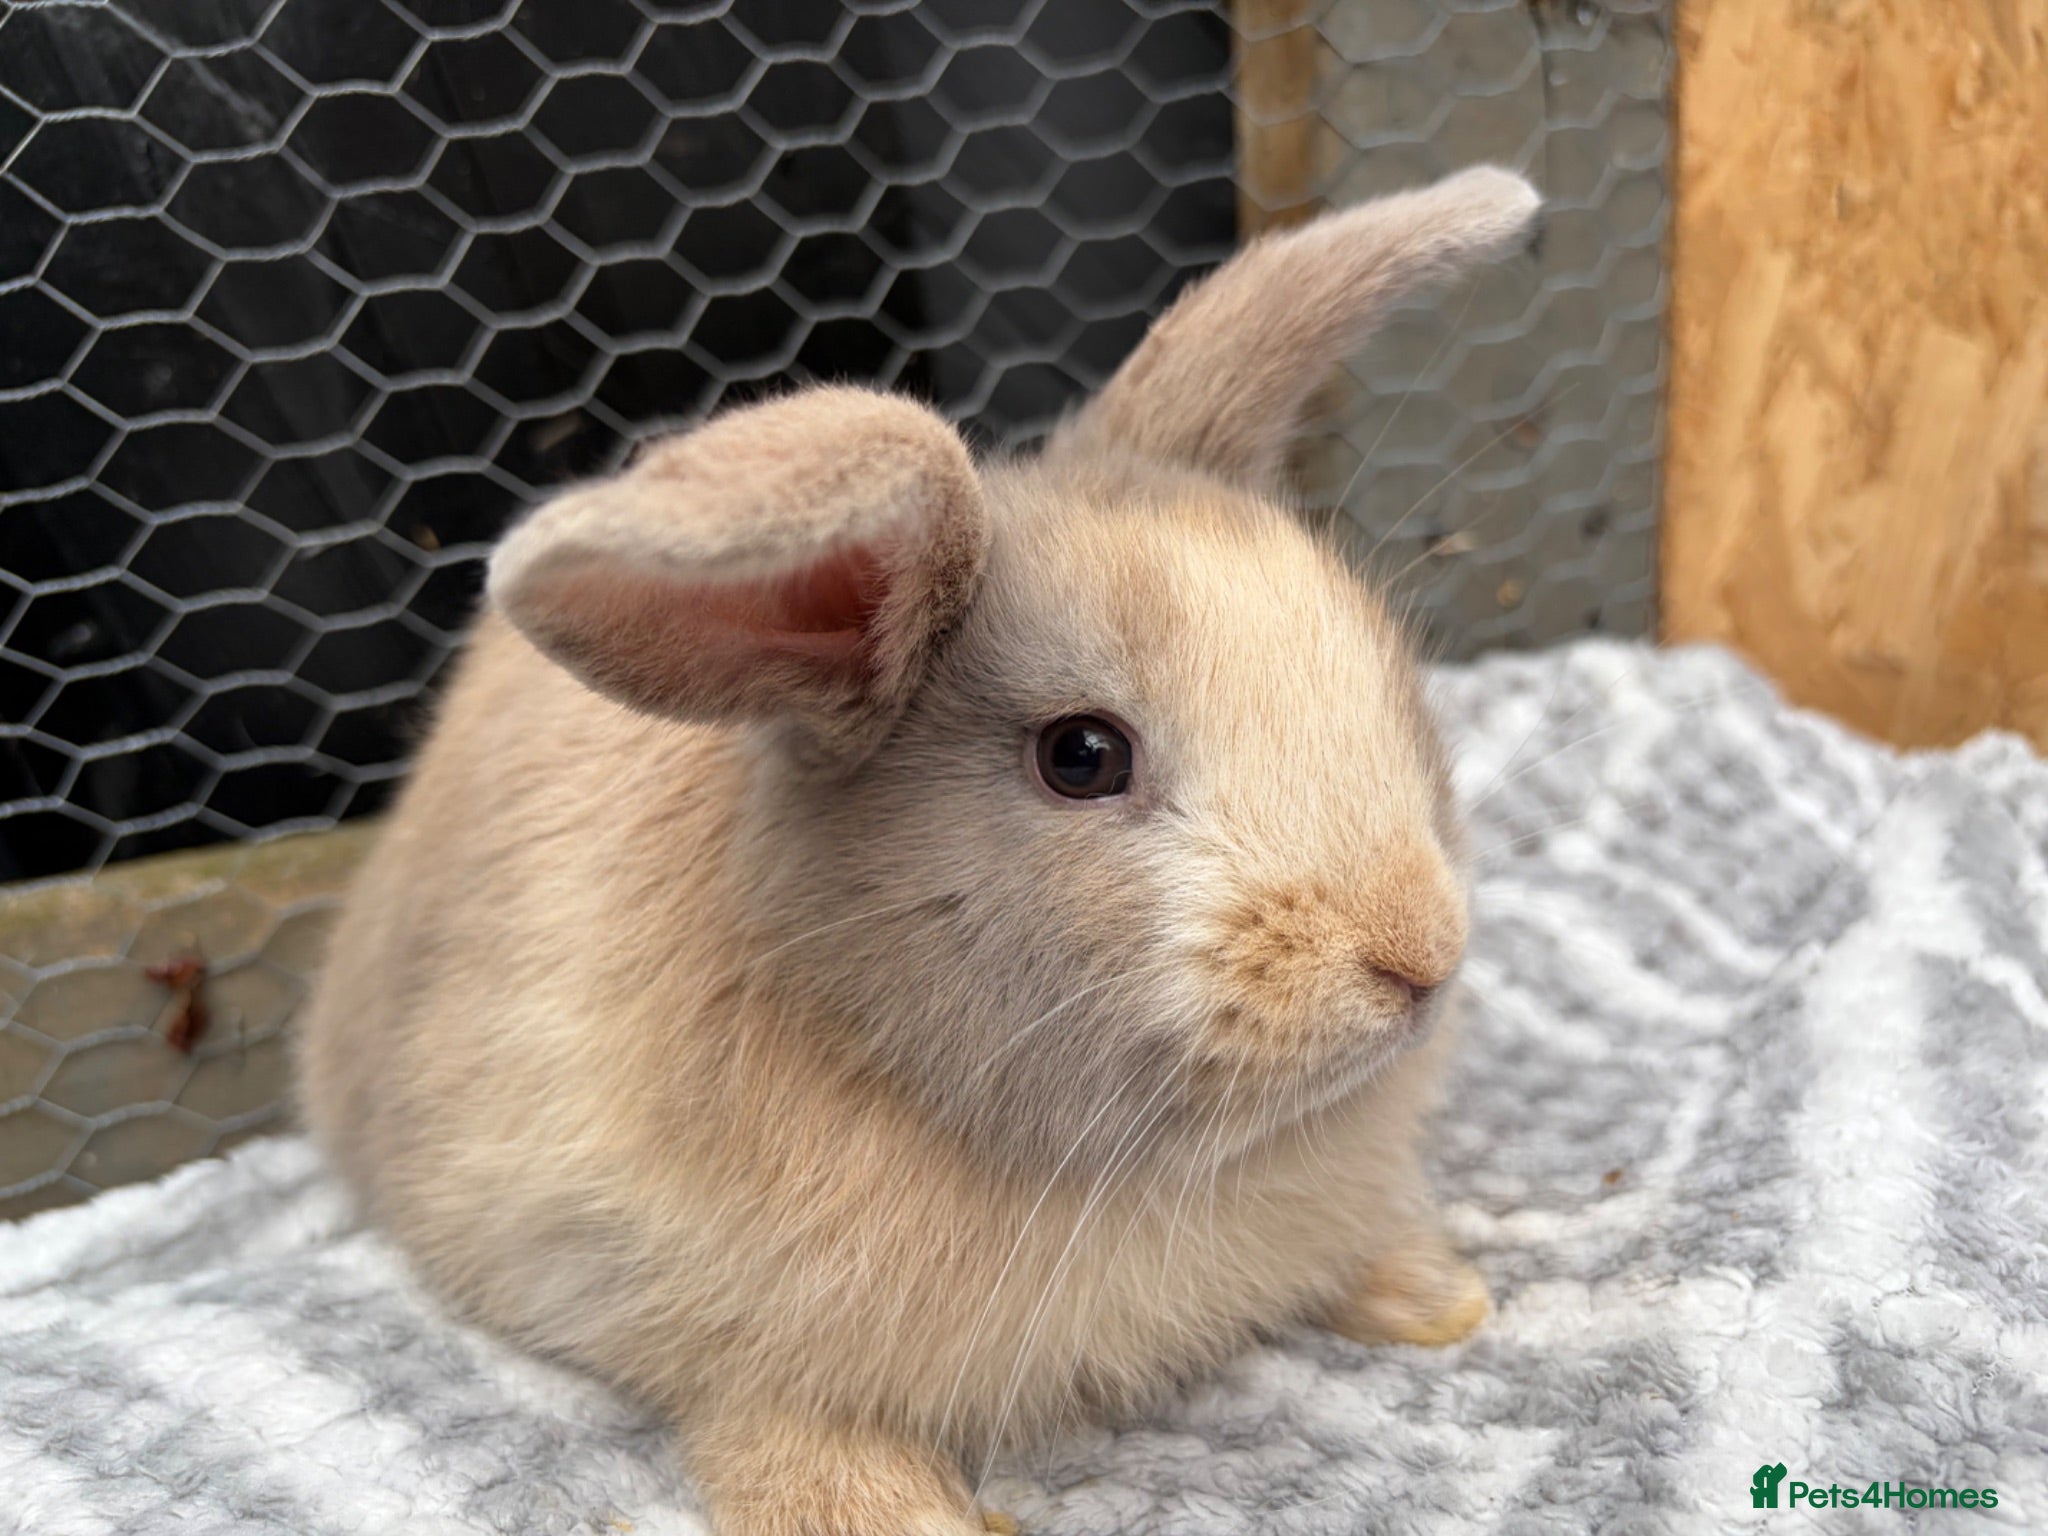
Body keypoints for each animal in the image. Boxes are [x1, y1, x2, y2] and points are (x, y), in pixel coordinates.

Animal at [297, 163, 1541, 1536]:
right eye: (1080, 756)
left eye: (1374, 666)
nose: (1419, 958)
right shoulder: (706, 1325)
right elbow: (763, 1416)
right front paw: (880, 1511)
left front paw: (1435, 1296)